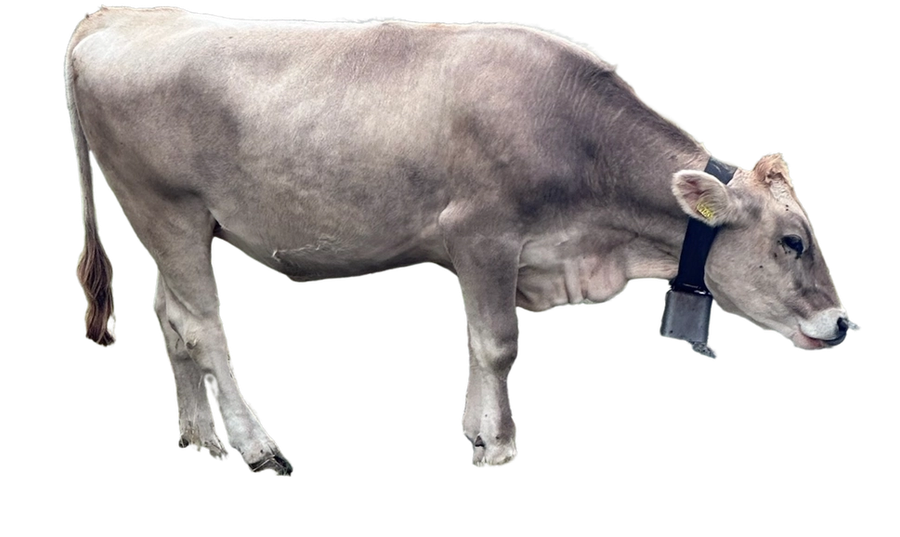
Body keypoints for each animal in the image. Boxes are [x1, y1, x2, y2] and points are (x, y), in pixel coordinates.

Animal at [66, 6, 857, 475]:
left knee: (171, 318)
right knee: (204, 326)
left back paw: (200, 434)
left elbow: (478, 339)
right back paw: (257, 445)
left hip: (174, 225)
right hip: (166, 208)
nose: (843, 325)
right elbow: (498, 342)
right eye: (793, 240)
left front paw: (476, 427)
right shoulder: (483, 233)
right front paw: (500, 443)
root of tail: (120, 16)